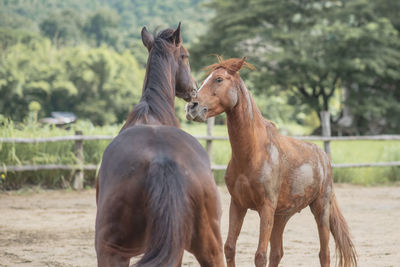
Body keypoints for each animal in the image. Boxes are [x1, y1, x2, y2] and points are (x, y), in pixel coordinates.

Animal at [186, 57, 358, 266]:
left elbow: (260, 255)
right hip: (281, 216)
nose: (192, 107)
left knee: (323, 254)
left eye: (218, 79)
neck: (253, 153)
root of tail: (323, 157)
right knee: (278, 252)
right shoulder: (238, 204)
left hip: (321, 210)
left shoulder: (266, 208)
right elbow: (229, 248)